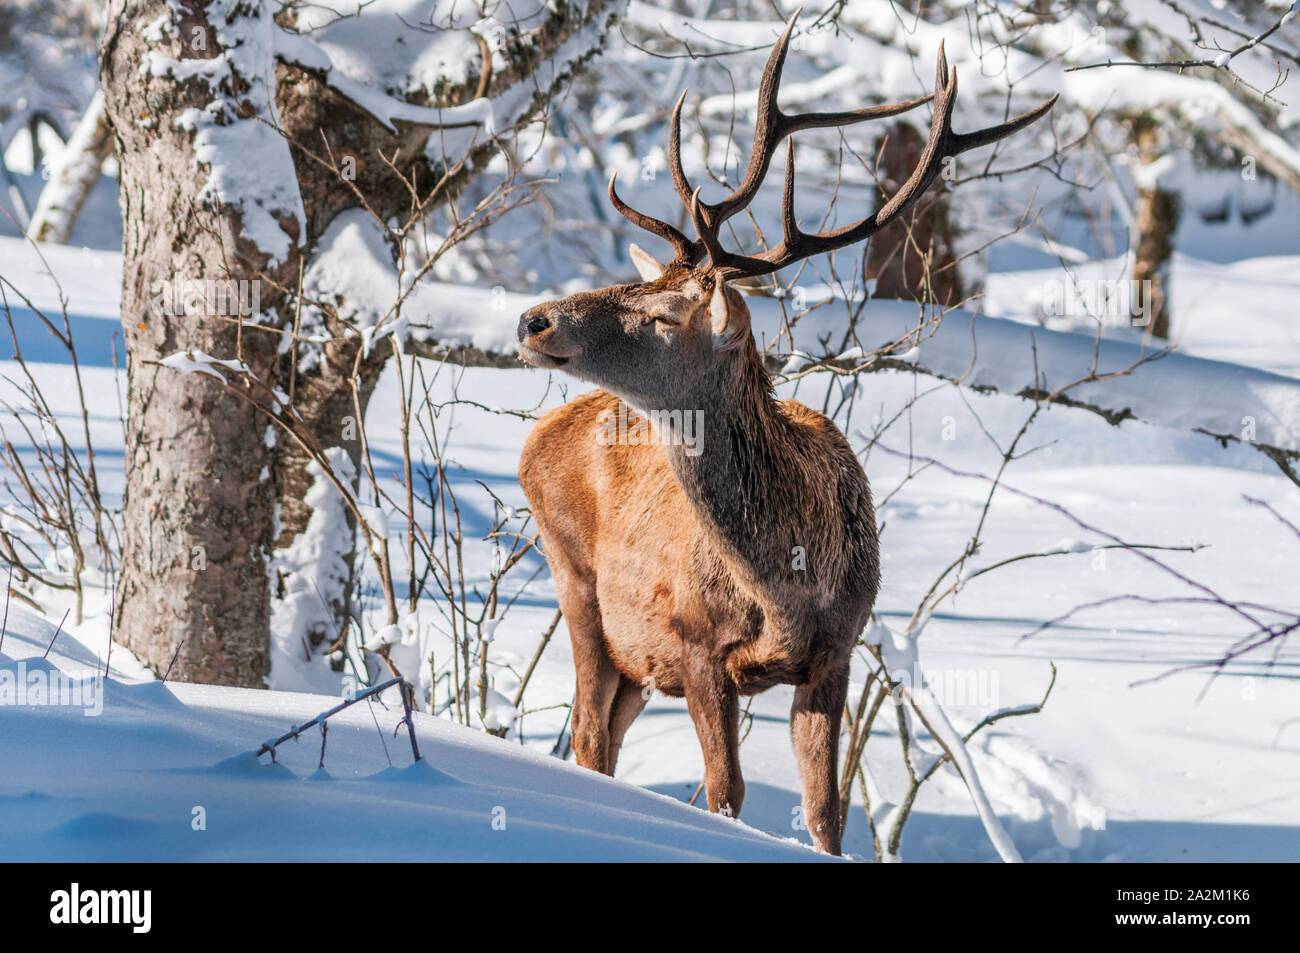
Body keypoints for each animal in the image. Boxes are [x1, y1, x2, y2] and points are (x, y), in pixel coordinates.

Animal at [512, 11, 1050, 852]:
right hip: (576, 581)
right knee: (588, 732)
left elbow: (825, 808)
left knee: (599, 731)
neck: (789, 583)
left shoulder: (836, 649)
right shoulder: (695, 640)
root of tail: (538, 436)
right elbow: (724, 793)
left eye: (663, 314)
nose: (534, 319)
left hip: (631, 649)